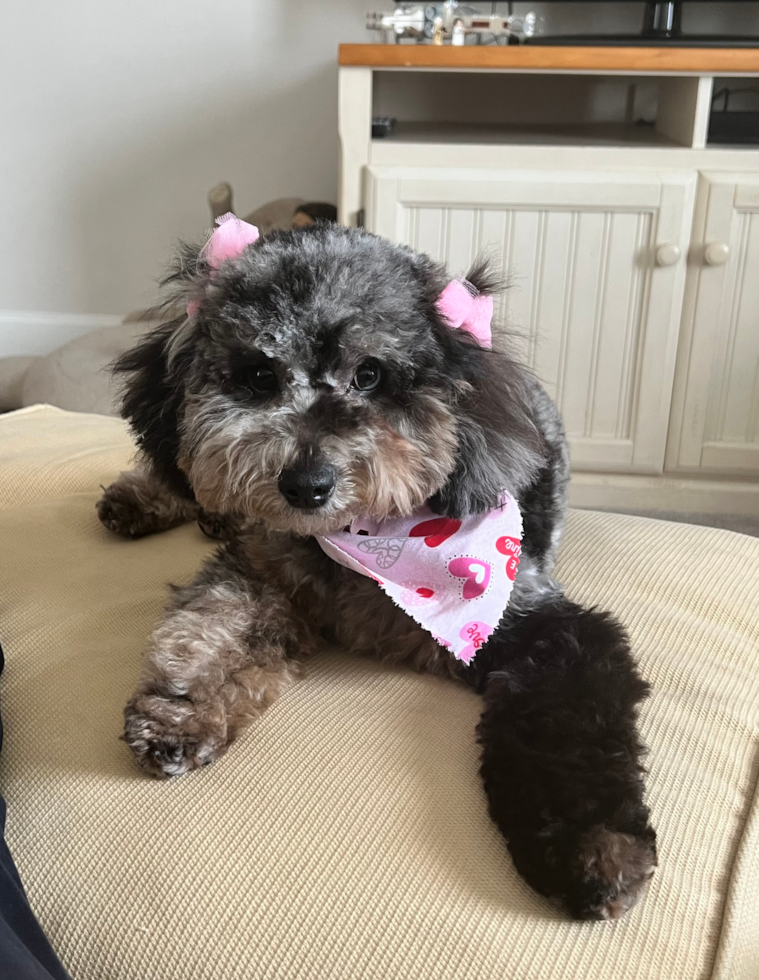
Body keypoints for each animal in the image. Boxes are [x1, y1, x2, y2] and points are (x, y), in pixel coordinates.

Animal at [99, 220, 660, 920]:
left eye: (370, 374)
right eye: (258, 374)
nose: (305, 485)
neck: (357, 541)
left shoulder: (545, 624)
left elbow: (571, 726)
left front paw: (594, 850)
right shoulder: (262, 574)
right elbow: (208, 631)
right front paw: (182, 711)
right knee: (181, 476)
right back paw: (144, 498)